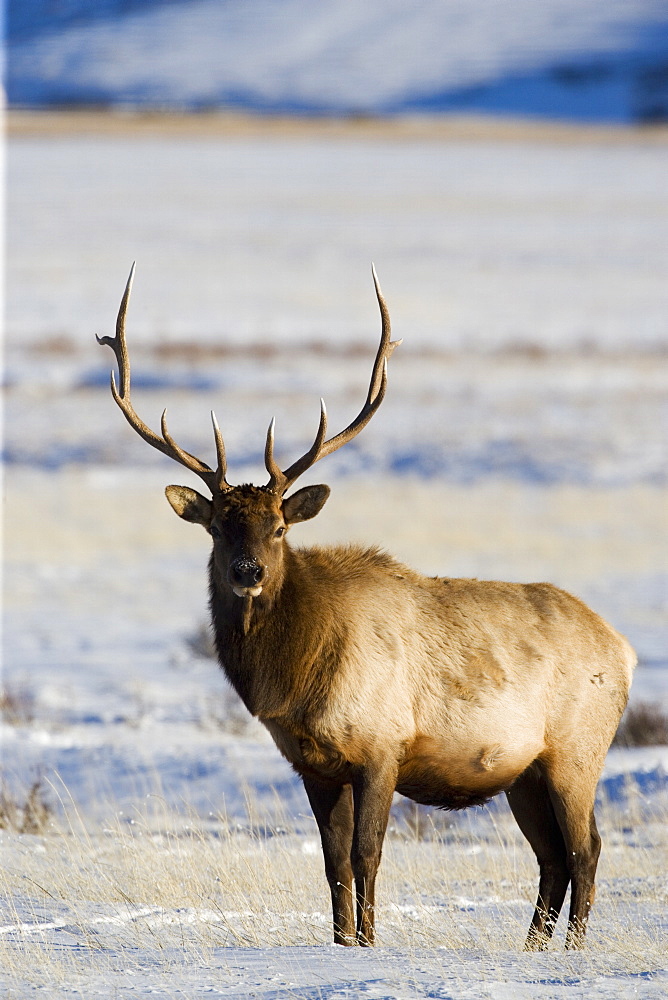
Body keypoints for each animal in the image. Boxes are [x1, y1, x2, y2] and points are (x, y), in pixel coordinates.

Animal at [99, 262, 636, 948]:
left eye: (280, 527)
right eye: (218, 526)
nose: (248, 573)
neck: (294, 680)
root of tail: (623, 648)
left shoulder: (383, 746)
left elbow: (367, 854)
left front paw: (371, 943)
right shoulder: (314, 764)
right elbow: (332, 860)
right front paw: (341, 941)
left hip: (577, 749)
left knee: (585, 849)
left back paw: (569, 951)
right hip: (525, 771)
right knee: (551, 858)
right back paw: (533, 949)